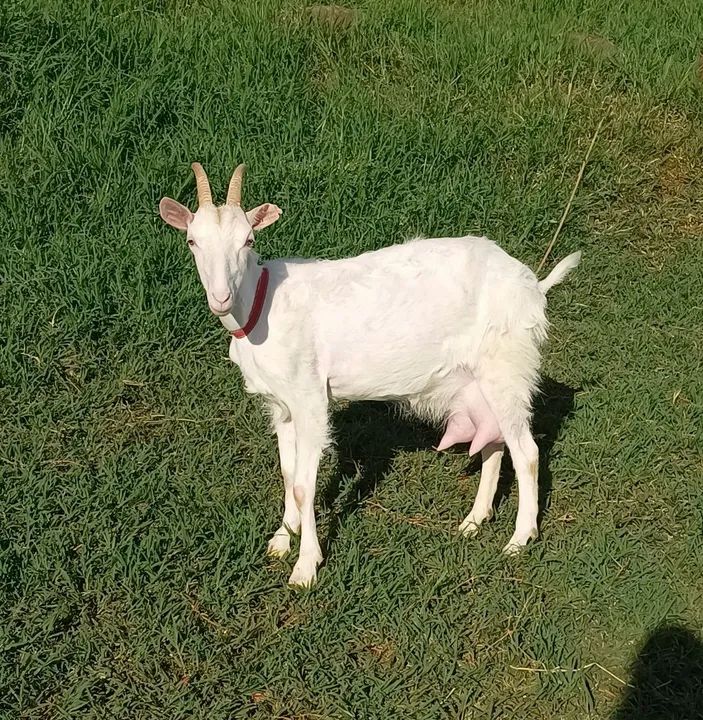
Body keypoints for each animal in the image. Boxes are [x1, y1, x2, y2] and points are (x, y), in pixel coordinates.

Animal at [159, 162, 581, 586]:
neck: (262, 307)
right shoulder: (280, 404)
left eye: (248, 240)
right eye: (192, 241)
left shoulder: (309, 396)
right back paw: (475, 520)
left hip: (507, 366)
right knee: (495, 442)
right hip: (479, 381)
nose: (220, 298)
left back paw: (519, 538)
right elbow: (287, 471)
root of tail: (534, 286)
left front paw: (306, 566)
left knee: (526, 451)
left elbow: (303, 484)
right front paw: (282, 538)